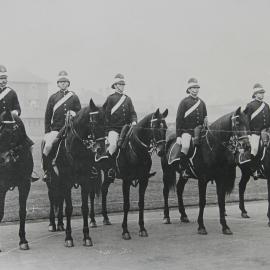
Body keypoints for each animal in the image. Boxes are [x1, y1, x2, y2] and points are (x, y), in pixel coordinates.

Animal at [44, 99, 105, 247]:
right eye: (94, 122)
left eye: (106, 121)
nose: (101, 149)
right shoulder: (66, 182)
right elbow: (69, 208)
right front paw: (68, 237)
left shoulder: (85, 182)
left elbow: (84, 208)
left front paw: (87, 236)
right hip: (51, 182)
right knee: (52, 198)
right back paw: (52, 224)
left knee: (60, 200)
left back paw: (60, 224)